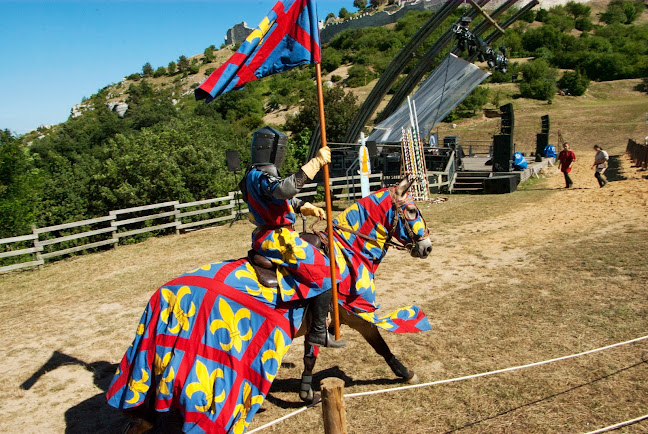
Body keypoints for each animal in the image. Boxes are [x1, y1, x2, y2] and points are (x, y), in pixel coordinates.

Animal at [107, 177, 430, 434]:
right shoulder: (349, 313)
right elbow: (379, 342)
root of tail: (161, 296)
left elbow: (311, 355)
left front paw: (307, 393)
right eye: (412, 210)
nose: (427, 247)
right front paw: (405, 373)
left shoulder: (318, 320)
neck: (345, 250)